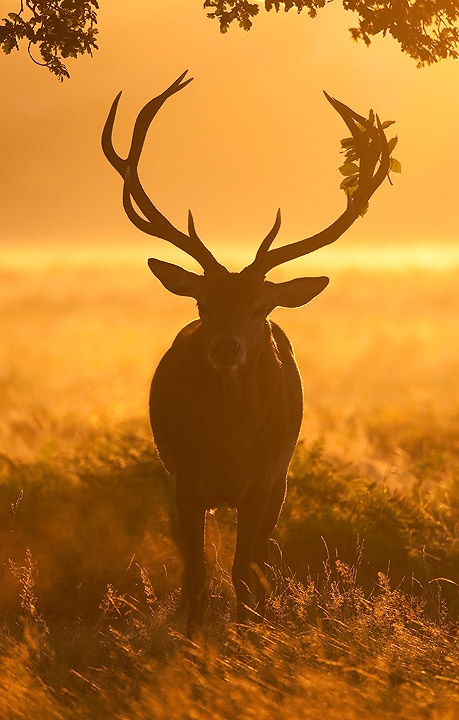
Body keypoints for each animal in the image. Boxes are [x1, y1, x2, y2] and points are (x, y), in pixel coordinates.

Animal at [102, 71, 392, 635]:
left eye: (262, 305)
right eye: (204, 302)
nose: (226, 347)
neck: (229, 447)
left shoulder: (268, 481)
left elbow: (244, 572)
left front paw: (247, 638)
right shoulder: (185, 479)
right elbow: (197, 573)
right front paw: (194, 641)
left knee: (252, 565)